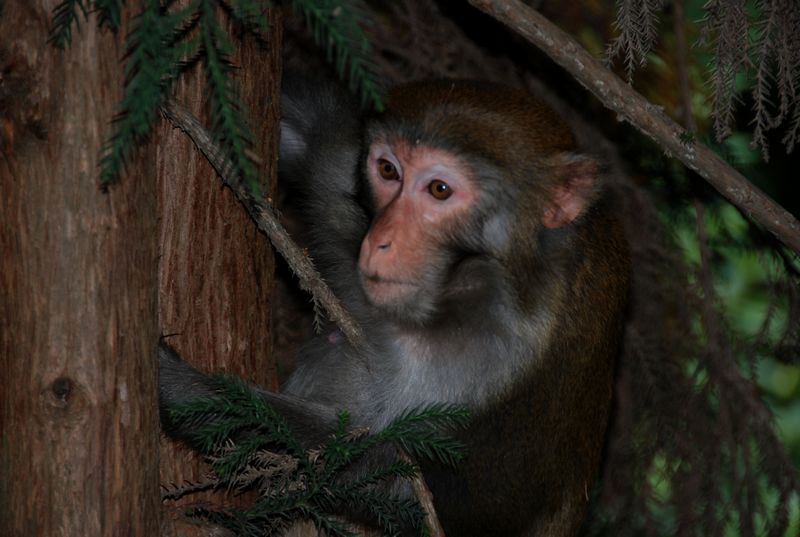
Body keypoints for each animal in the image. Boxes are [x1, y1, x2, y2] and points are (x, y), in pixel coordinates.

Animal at [161, 76, 632, 536]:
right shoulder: (340, 169)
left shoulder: (501, 359)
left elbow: (415, 488)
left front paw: (174, 384)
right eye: (388, 170)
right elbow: (307, 127)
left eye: (439, 190)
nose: (380, 240)